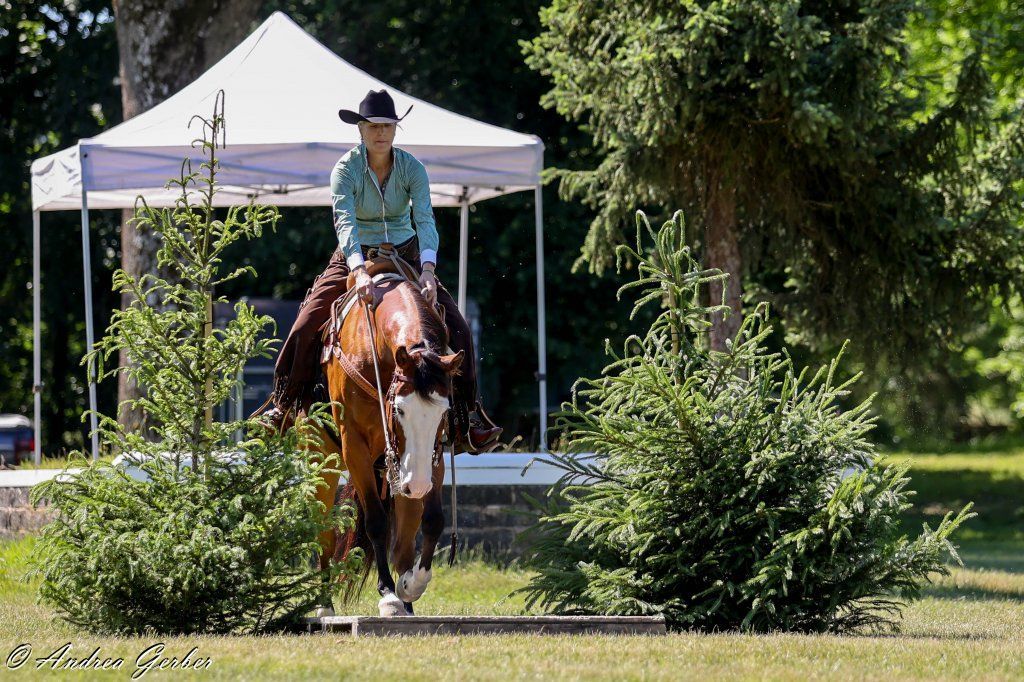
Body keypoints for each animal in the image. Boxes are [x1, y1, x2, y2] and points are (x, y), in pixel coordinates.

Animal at [309, 265, 463, 617]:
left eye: (444, 411)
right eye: (400, 410)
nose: (416, 485)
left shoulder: (430, 455)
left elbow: (433, 520)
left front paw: (411, 585)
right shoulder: (354, 447)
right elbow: (376, 521)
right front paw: (388, 594)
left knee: (404, 540)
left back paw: (407, 602)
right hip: (324, 457)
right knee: (324, 529)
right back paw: (324, 605)